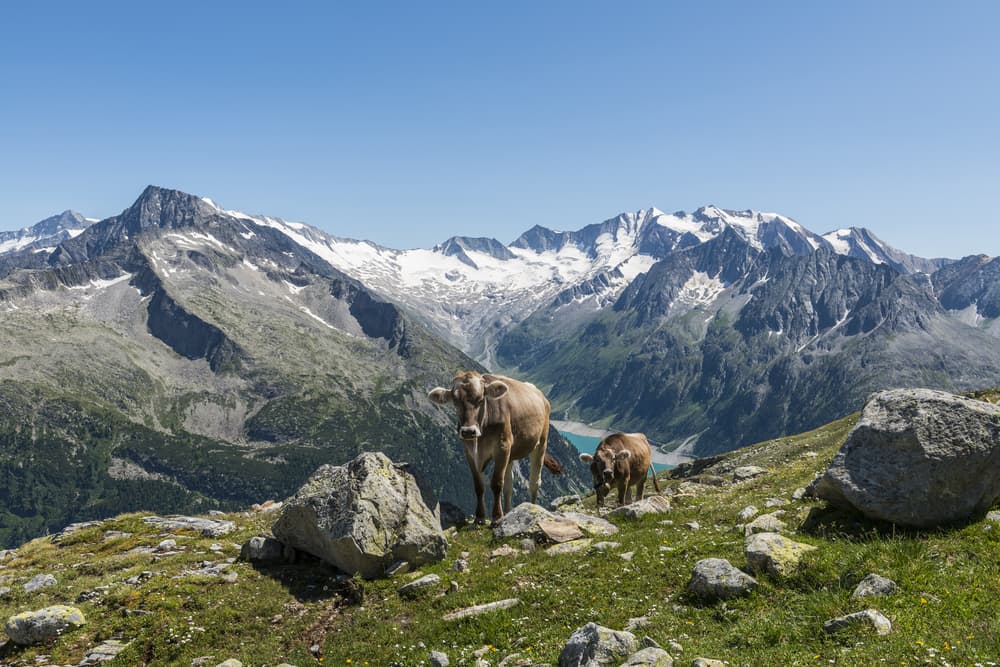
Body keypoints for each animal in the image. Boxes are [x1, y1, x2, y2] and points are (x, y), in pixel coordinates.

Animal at [426, 370, 560, 520]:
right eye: (455, 402)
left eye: (480, 399)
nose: (468, 431)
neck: (480, 439)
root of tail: (540, 395)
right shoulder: (470, 453)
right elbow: (479, 486)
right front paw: (480, 516)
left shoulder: (502, 447)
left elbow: (496, 483)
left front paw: (496, 517)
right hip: (511, 453)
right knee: (509, 485)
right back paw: (508, 511)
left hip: (541, 442)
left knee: (534, 482)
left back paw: (532, 507)